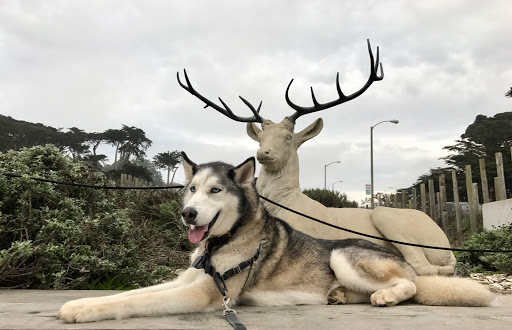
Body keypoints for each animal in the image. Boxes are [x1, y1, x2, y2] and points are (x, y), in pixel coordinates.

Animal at [58, 154, 494, 322]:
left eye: (215, 191)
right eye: (191, 190)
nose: (187, 214)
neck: (222, 241)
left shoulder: (205, 292)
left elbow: (135, 302)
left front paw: (85, 310)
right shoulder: (189, 278)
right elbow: (131, 293)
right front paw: (81, 302)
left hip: (344, 255)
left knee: (410, 285)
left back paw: (385, 296)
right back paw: (340, 296)